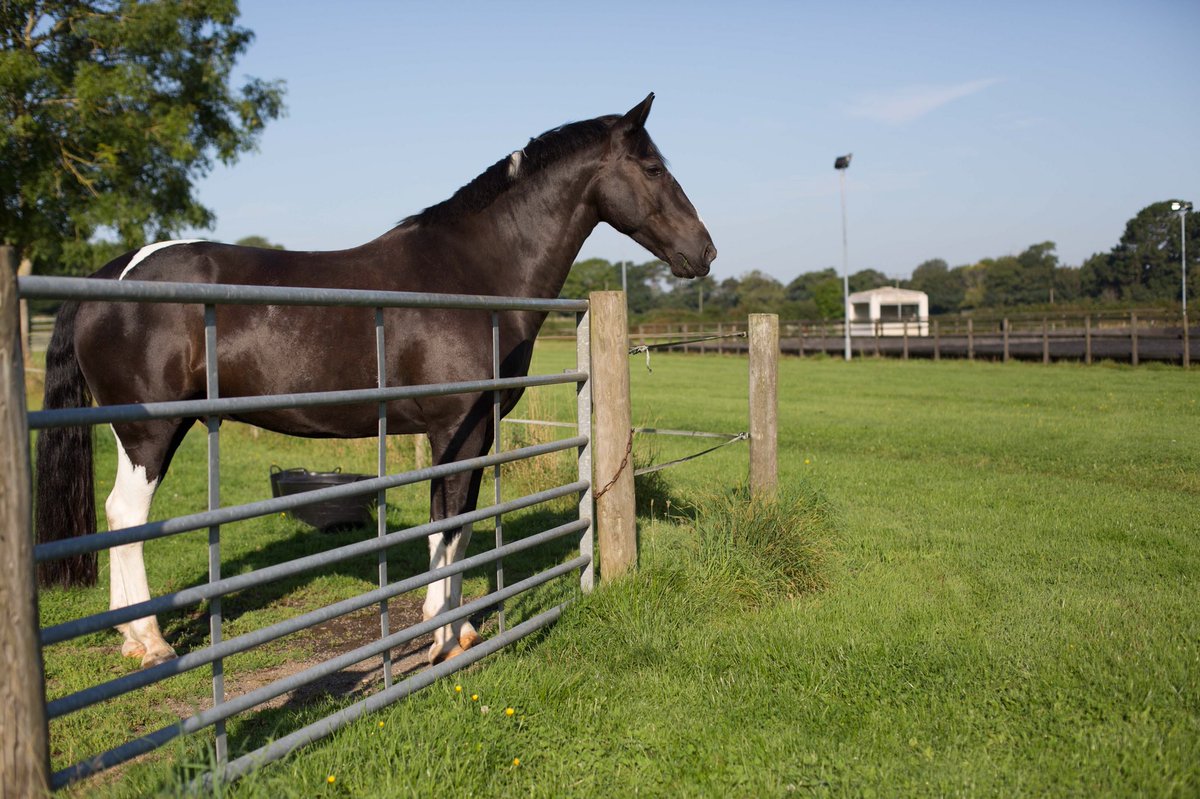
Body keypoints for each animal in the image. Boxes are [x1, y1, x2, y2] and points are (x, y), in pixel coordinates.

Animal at [35, 93, 716, 669]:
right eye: (652, 168)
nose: (705, 252)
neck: (470, 273)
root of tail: (114, 274)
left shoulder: (474, 434)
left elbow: (460, 526)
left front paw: (459, 629)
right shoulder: (454, 430)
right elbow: (447, 526)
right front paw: (442, 636)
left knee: (121, 516)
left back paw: (131, 638)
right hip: (148, 431)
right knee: (128, 513)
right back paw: (150, 644)